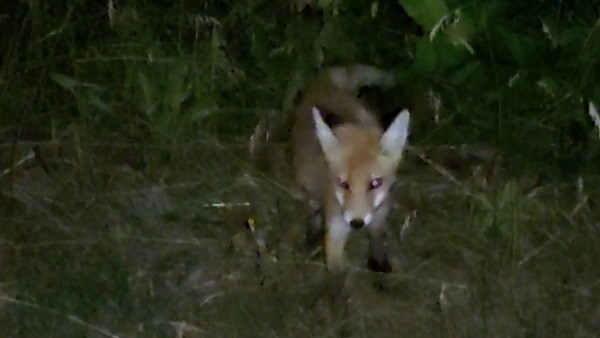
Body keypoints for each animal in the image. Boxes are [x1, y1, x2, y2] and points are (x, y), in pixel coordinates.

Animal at [292, 64, 412, 274]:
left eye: (375, 183)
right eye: (342, 183)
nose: (357, 223)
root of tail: (325, 79)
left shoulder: (380, 214)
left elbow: (378, 238)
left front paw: (379, 263)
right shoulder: (336, 230)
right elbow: (336, 273)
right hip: (308, 183)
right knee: (313, 206)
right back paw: (312, 232)